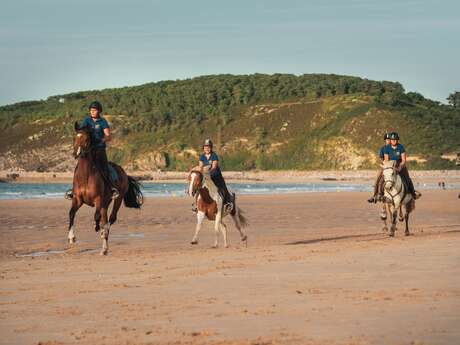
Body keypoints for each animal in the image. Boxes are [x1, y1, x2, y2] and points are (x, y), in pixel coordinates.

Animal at [67, 122, 143, 254]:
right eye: (74, 138)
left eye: (86, 139)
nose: (77, 153)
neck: (85, 175)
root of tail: (123, 172)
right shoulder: (77, 199)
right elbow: (71, 213)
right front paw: (71, 237)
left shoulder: (98, 199)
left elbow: (96, 216)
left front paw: (97, 228)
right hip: (106, 203)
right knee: (105, 218)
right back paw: (104, 249)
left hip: (117, 199)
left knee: (111, 219)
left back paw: (104, 232)